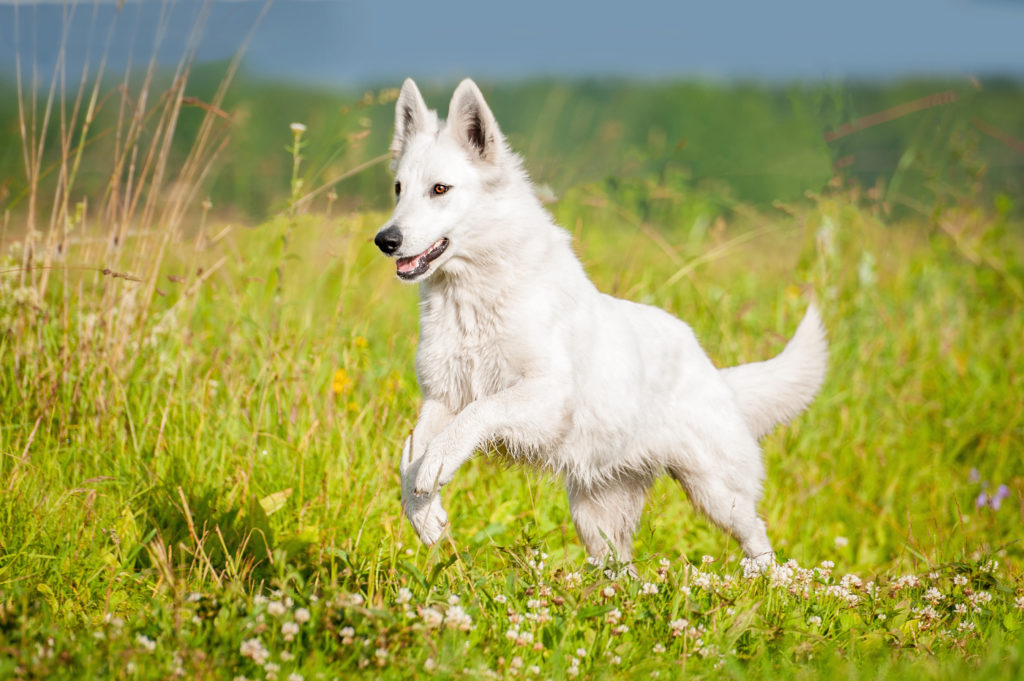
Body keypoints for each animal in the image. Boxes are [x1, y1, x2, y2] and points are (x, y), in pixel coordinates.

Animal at [372, 78, 827, 569]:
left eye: (440, 189)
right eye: (398, 189)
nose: (385, 240)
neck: (475, 294)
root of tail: (715, 374)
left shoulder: (543, 396)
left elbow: (478, 414)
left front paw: (437, 468)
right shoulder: (441, 398)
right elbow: (408, 456)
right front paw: (424, 514)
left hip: (717, 493)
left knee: (758, 536)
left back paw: (767, 581)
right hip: (596, 518)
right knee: (622, 567)